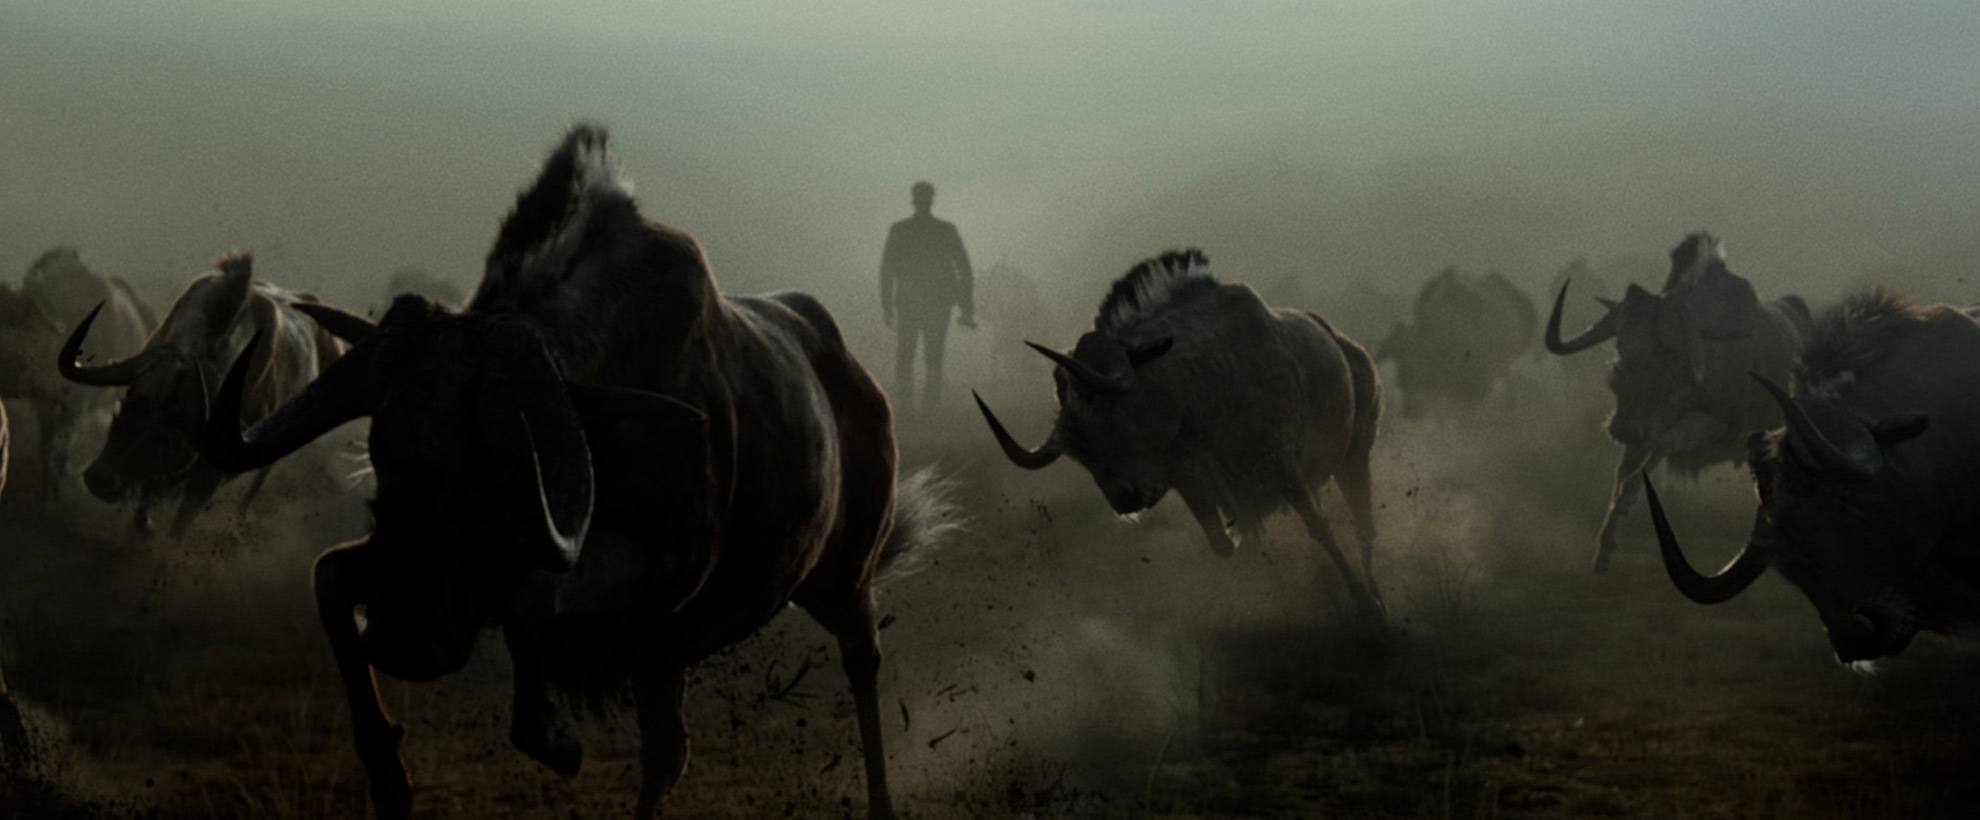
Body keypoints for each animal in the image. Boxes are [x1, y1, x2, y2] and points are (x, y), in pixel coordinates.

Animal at [202, 125, 952, 820]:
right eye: (382, 448)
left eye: (497, 466)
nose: (401, 642)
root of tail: (859, 388)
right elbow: (329, 574)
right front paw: (388, 775)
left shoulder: (662, 582)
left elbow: (533, 593)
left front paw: (559, 740)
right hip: (672, 654)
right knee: (667, 751)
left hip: (844, 580)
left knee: (858, 666)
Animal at [975, 249, 1385, 616]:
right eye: (1077, 454)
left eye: (1106, 411)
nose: (1123, 499)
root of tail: (1350, 348)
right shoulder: (1190, 480)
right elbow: (1230, 544)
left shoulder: (1281, 462)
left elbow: (1319, 528)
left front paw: (1366, 606)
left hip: (1355, 456)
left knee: (1363, 525)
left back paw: (1375, 597)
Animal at [1546, 233, 1813, 572]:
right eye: (1620, 347)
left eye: (1666, 353)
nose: (1621, 429)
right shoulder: (1639, 427)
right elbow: (1623, 472)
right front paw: (1603, 549)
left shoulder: (1714, 428)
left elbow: (1653, 454)